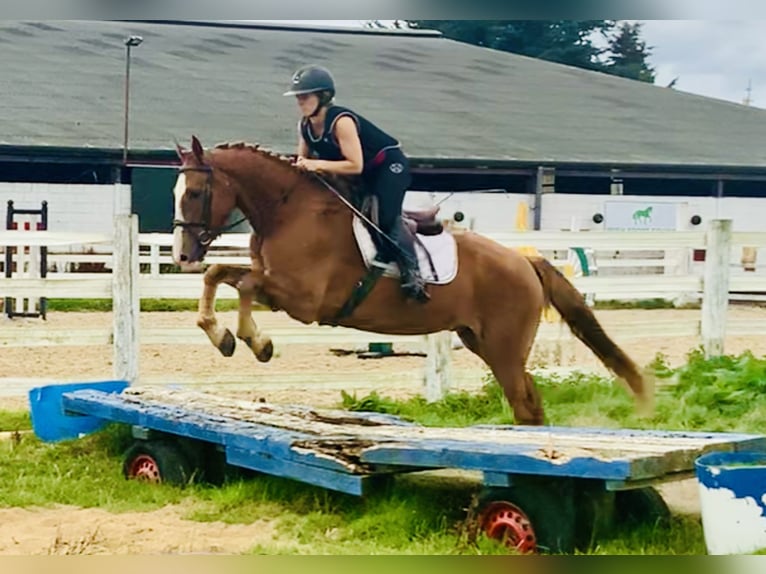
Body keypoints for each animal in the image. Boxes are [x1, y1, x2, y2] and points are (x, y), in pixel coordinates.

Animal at [171, 134, 652, 424]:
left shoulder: (302, 301)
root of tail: (523, 262)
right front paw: (225, 337)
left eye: (193, 193)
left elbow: (241, 282)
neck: (288, 211)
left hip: (504, 346)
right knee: (527, 401)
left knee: (524, 400)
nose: (181, 255)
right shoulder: (276, 287)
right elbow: (220, 275)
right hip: (482, 341)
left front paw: (253, 341)